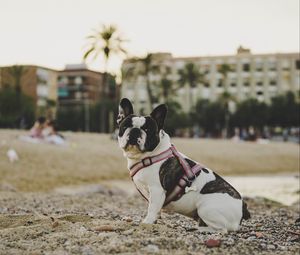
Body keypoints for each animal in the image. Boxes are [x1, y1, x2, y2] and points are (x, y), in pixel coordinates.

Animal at [116, 98, 250, 233]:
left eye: (147, 130)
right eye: (125, 126)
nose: (135, 130)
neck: (147, 156)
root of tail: (242, 209)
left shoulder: (156, 190)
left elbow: (152, 208)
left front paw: (147, 223)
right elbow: (156, 210)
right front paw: (155, 222)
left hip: (206, 207)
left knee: (222, 229)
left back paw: (200, 229)